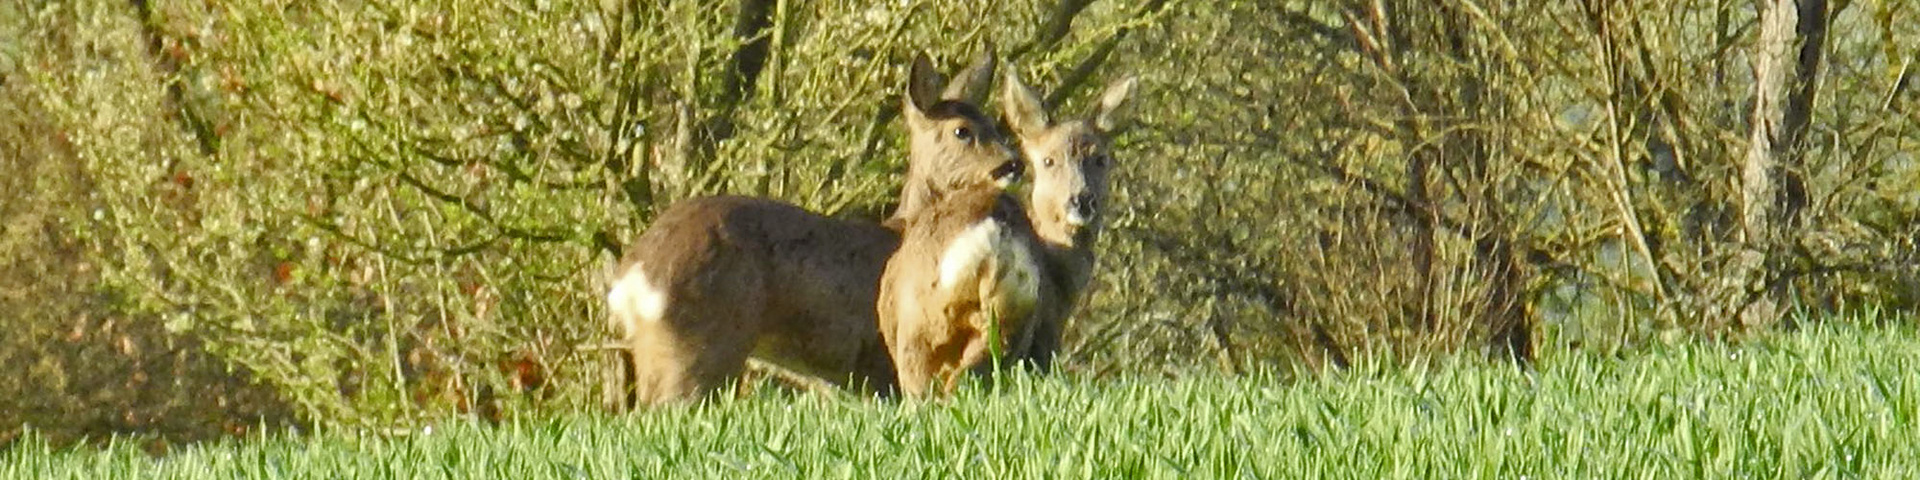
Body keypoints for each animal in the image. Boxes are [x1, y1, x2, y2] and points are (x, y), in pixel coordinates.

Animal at [602, 51, 1021, 405]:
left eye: (994, 124)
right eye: (962, 131)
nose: (1012, 163)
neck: (903, 226)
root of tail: (633, 278)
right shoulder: (881, 361)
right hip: (702, 344)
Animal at [879, 68, 1128, 397]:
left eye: (1101, 159)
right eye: (1048, 160)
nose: (1081, 200)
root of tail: (994, 231)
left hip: (920, 330)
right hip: (1012, 320)